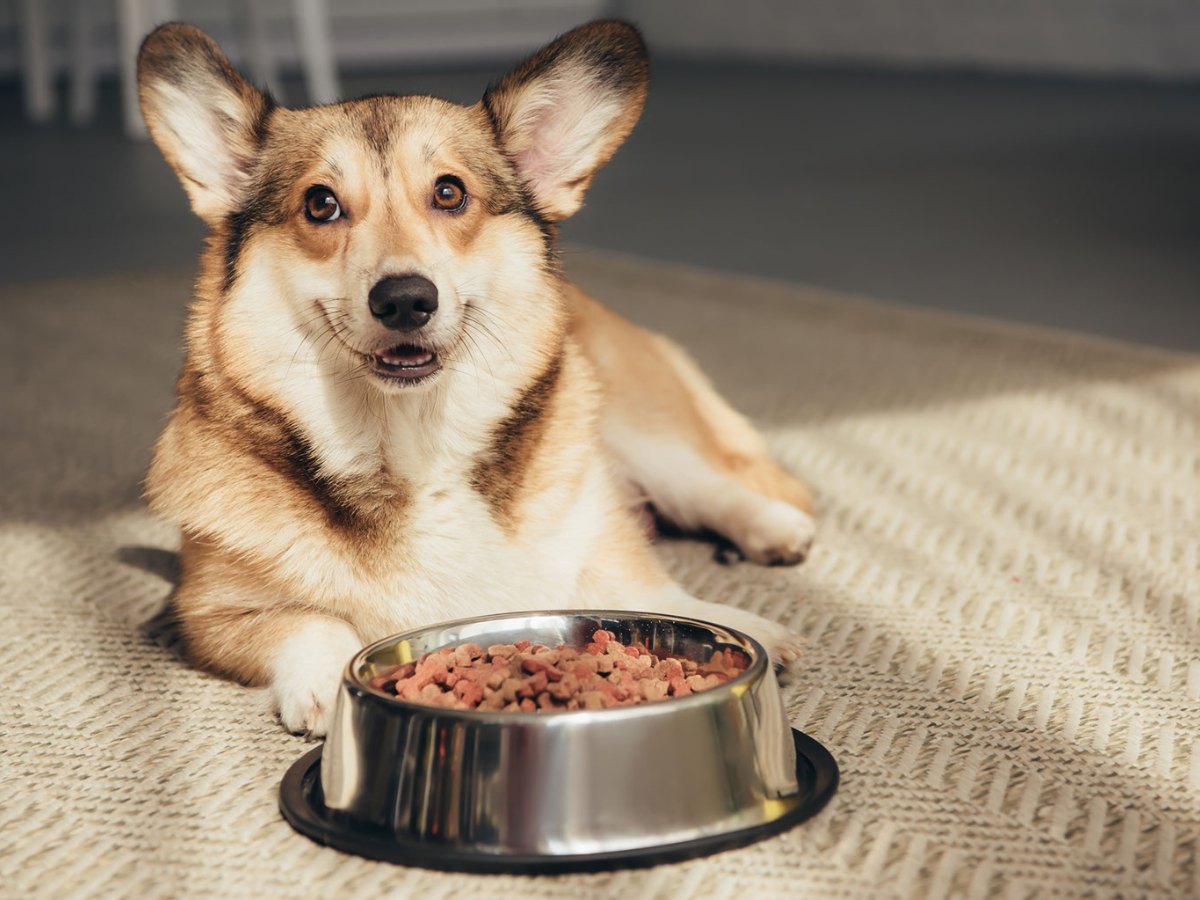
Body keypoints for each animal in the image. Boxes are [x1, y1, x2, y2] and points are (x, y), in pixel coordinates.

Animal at [138, 22, 816, 739]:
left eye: (449, 193)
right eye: (320, 204)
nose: (405, 300)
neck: (412, 444)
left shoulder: (597, 534)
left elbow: (649, 591)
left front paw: (733, 624)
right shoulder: (206, 611)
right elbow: (306, 621)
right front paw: (325, 680)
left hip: (639, 432)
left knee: (712, 485)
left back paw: (775, 529)